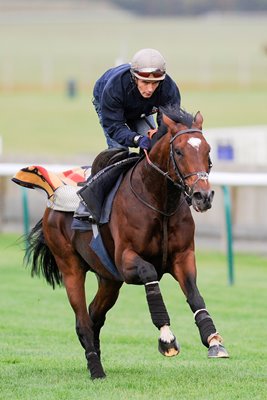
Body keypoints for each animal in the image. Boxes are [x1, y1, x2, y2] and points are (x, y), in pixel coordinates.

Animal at [13, 104, 230, 380]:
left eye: (208, 150)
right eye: (179, 151)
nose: (203, 196)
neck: (160, 203)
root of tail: (52, 198)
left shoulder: (182, 257)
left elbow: (194, 294)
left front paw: (213, 339)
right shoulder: (127, 262)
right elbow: (150, 273)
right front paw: (167, 338)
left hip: (108, 280)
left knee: (94, 316)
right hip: (71, 268)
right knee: (82, 319)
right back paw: (96, 370)